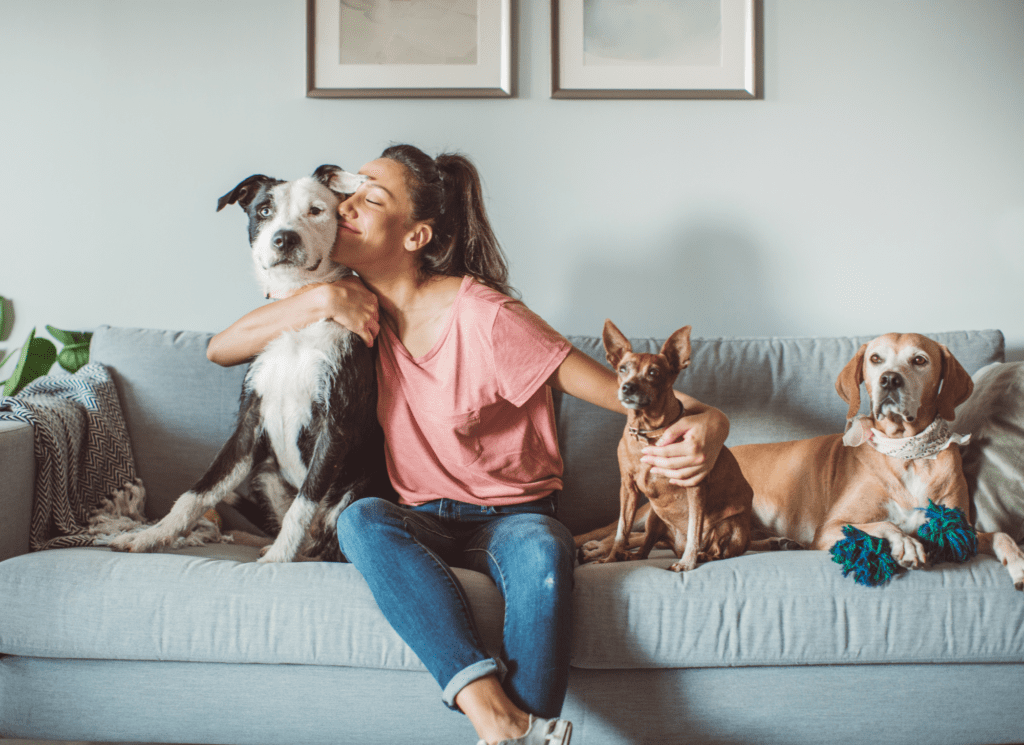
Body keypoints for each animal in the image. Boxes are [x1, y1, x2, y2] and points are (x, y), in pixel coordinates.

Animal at [110, 165, 385, 560]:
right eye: (264, 210)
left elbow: (304, 503)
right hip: (264, 474)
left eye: (316, 210)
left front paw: (278, 560)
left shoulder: (335, 425)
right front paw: (150, 535)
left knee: (329, 544)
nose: (284, 239)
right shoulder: (249, 422)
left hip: (356, 488)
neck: (297, 310)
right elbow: (197, 492)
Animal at [581, 319, 757, 568]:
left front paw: (688, 563)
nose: (628, 387)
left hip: (730, 525)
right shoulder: (628, 488)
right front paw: (612, 557)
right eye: (622, 369)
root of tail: (675, 546)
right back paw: (629, 555)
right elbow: (622, 530)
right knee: (645, 548)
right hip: (654, 518)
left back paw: (701, 555)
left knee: (717, 549)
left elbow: (695, 529)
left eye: (654, 372)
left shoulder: (695, 487)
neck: (647, 432)